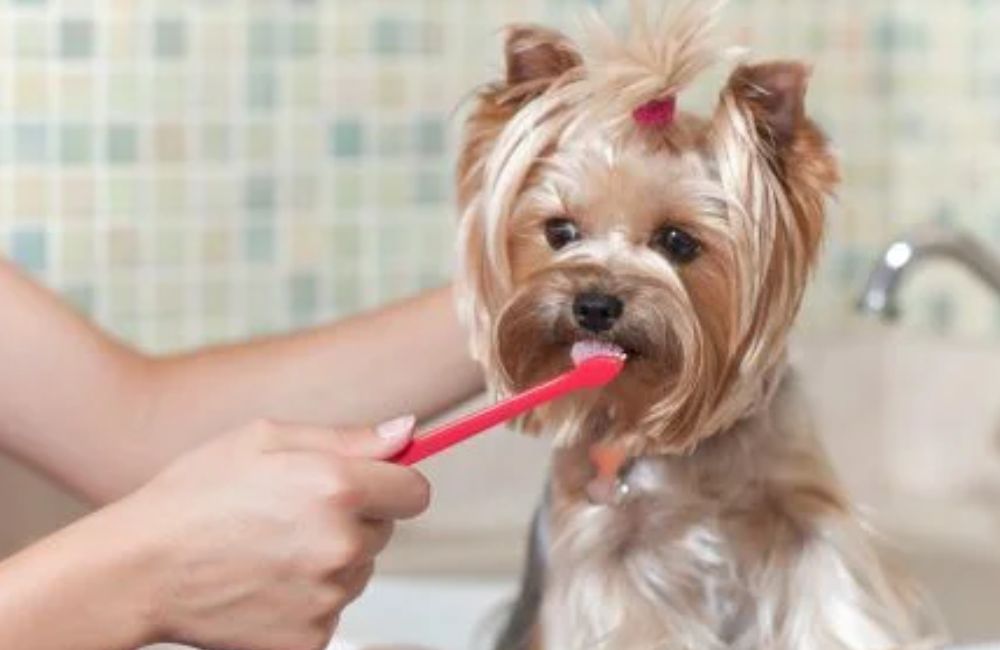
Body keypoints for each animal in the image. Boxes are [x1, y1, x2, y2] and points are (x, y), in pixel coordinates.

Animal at [454, 1, 936, 648]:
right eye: (560, 231)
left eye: (678, 241)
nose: (595, 304)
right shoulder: (605, 553)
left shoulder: (805, 514)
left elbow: (834, 598)